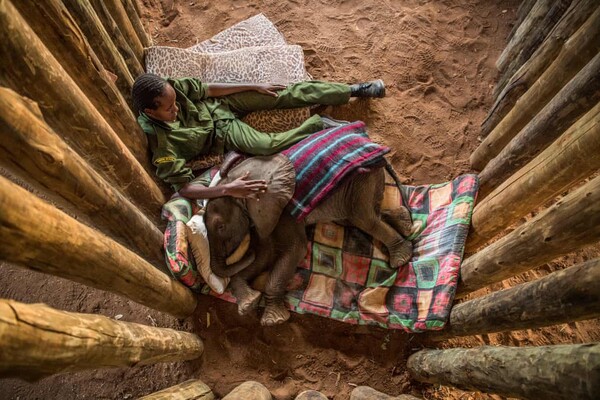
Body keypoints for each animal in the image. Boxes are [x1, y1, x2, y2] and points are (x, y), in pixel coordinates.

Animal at [203, 155, 412, 326]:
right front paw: (248, 305)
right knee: (358, 217)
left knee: (364, 218)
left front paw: (273, 321)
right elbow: (265, 254)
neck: (238, 177)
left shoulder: (283, 211)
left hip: (362, 179)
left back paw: (401, 258)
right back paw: (405, 222)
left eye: (220, 227)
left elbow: (295, 250)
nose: (246, 249)